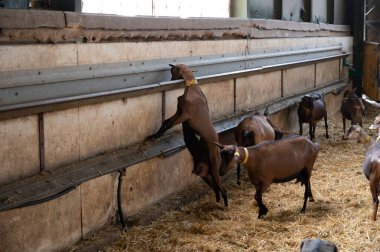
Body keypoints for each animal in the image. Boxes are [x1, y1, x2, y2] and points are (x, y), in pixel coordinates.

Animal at [147, 64, 227, 207]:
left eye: (172, 71)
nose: (171, 79)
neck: (192, 88)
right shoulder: (179, 111)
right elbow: (166, 121)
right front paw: (154, 135)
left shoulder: (184, 115)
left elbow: (169, 124)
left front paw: (157, 136)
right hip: (204, 172)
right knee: (216, 187)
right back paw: (217, 201)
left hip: (214, 166)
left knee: (222, 187)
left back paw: (225, 203)